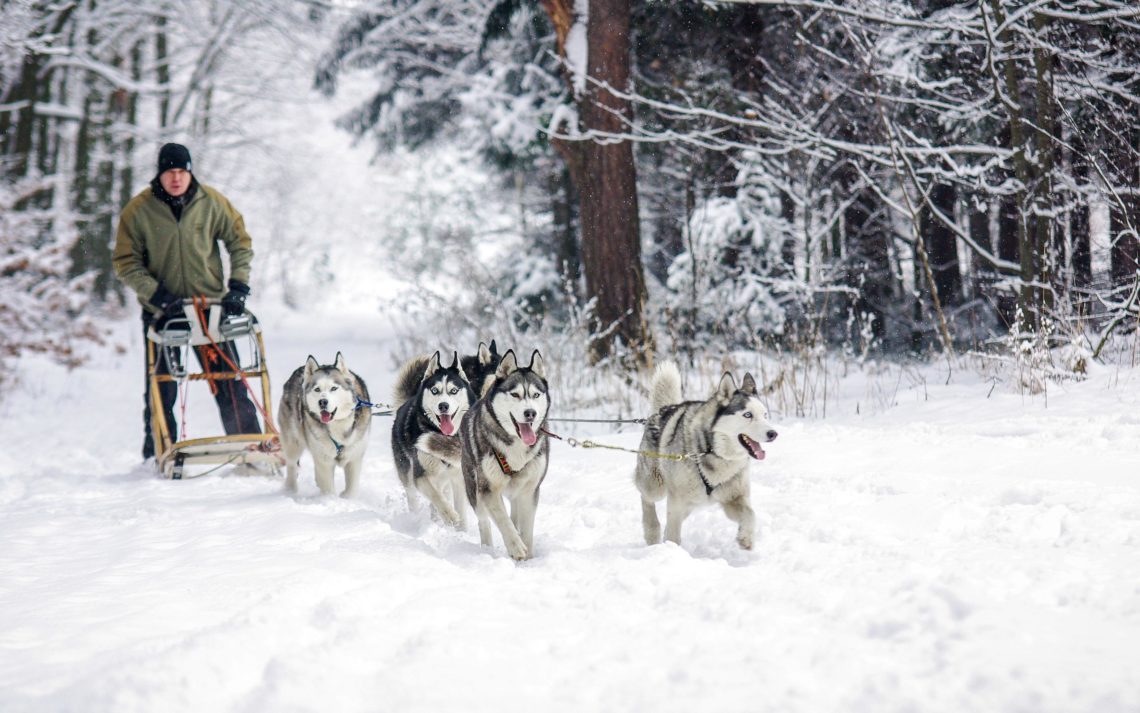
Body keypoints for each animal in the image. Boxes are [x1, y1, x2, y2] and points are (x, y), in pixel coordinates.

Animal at [278, 353, 371, 497]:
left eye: (334, 388)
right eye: (317, 389)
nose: (322, 402)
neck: (338, 426)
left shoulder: (354, 458)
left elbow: (351, 489)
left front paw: (346, 497)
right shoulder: (324, 460)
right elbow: (328, 489)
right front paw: (330, 499)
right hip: (293, 443)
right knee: (292, 465)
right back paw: (290, 490)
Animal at [392, 346, 476, 524]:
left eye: (453, 391)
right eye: (435, 390)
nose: (443, 406)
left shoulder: (458, 478)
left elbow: (460, 509)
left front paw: (461, 527)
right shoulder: (421, 475)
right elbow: (435, 496)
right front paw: (450, 515)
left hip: (445, 479)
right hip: (408, 473)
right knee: (415, 497)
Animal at [462, 346, 551, 558]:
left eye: (536, 395)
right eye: (515, 395)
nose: (530, 413)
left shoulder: (529, 490)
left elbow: (526, 528)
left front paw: (528, 556)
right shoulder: (488, 489)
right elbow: (503, 520)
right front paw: (516, 546)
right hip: (474, 490)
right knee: (484, 520)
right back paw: (487, 547)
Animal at [633, 360, 775, 549]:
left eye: (765, 415)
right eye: (747, 415)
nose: (773, 433)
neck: (715, 453)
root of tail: (662, 411)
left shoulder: (733, 498)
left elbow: (750, 515)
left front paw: (746, 539)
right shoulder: (676, 501)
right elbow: (673, 535)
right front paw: (672, 551)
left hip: (690, 504)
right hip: (655, 486)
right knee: (646, 498)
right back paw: (652, 531)